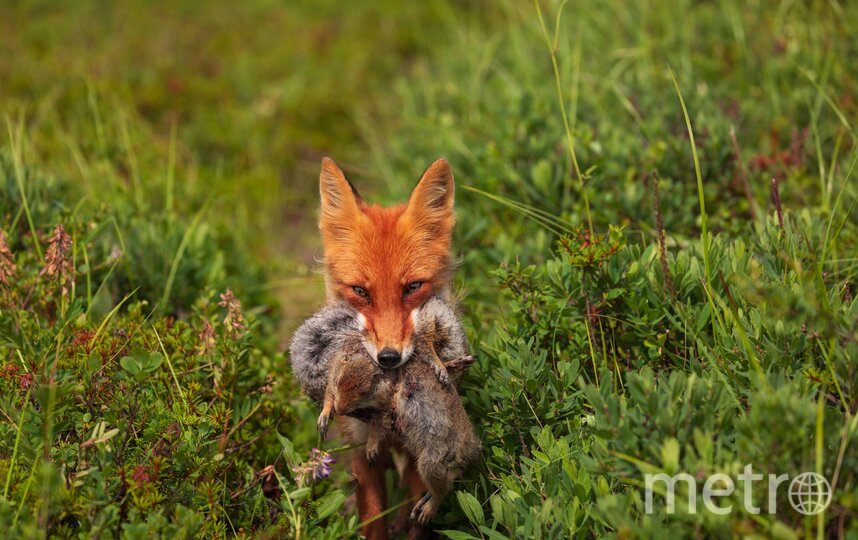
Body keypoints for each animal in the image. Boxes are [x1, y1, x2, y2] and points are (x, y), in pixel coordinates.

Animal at [290, 298, 478, 524]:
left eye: (366, 390)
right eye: (338, 381)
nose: (341, 409)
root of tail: (473, 448)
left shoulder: (386, 406)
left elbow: (378, 425)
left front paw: (371, 447)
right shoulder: (334, 370)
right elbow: (329, 395)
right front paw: (325, 415)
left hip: (432, 460)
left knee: (443, 489)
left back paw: (426, 510)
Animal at [316, 155, 462, 536]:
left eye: (413, 287)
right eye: (360, 291)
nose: (389, 358)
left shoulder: (422, 446)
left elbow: (417, 514)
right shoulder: (360, 447)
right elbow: (374, 521)